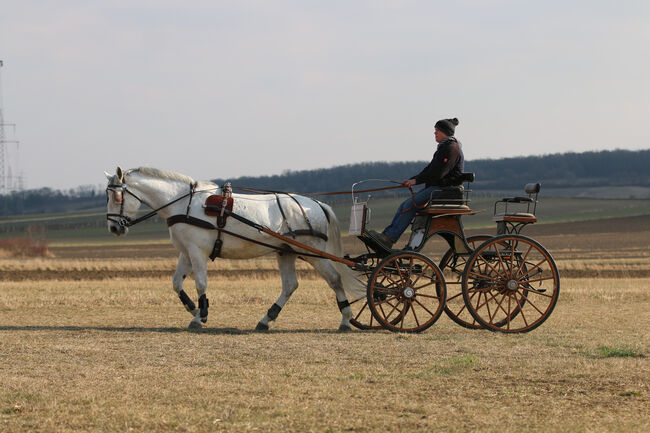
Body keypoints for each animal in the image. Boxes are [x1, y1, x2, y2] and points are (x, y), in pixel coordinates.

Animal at [105, 167, 364, 330]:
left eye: (116, 196)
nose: (113, 228)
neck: (183, 203)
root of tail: (317, 204)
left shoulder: (197, 251)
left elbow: (201, 284)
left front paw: (201, 316)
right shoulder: (186, 252)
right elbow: (177, 283)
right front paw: (193, 309)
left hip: (313, 252)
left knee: (334, 279)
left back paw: (345, 320)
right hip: (286, 252)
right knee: (290, 285)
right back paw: (266, 320)